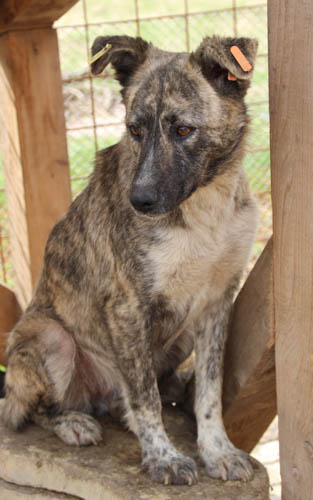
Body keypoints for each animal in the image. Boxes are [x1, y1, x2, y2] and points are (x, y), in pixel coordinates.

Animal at [1, 34, 258, 484]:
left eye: (183, 129)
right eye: (134, 129)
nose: (138, 201)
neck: (204, 210)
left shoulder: (215, 303)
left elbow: (210, 391)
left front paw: (217, 450)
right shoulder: (129, 308)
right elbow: (143, 398)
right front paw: (163, 457)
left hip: (182, 331)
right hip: (51, 338)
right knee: (32, 413)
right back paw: (74, 422)